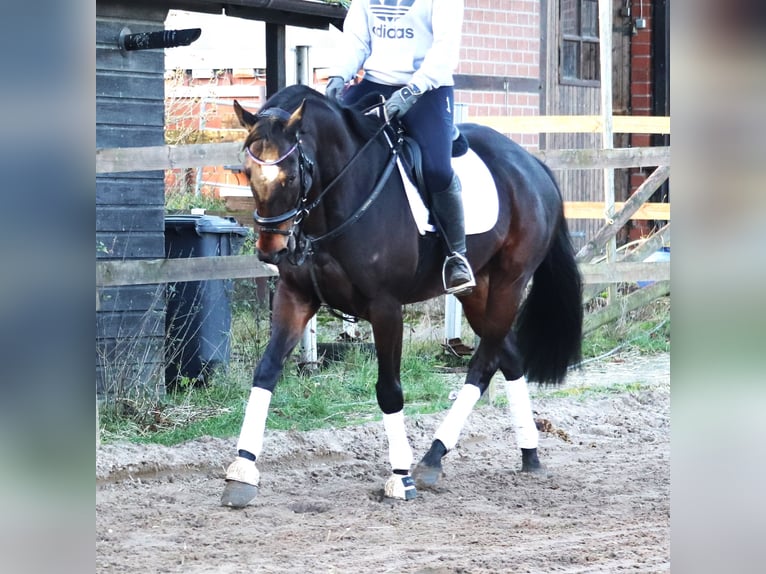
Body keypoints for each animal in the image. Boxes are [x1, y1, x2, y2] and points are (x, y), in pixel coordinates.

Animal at [219, 84, 584, 508]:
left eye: (291, 174)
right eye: (247, 172)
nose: (270, 250)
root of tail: (532, 165)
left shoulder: (386, 308)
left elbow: (389, 390)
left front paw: (400, 477)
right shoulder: (295, 297)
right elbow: (266, 371)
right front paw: (242, 471)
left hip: (509, 283)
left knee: (484, 362)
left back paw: (430, 459)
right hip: (478, 289)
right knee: (507, 355)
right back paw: (527, 453)